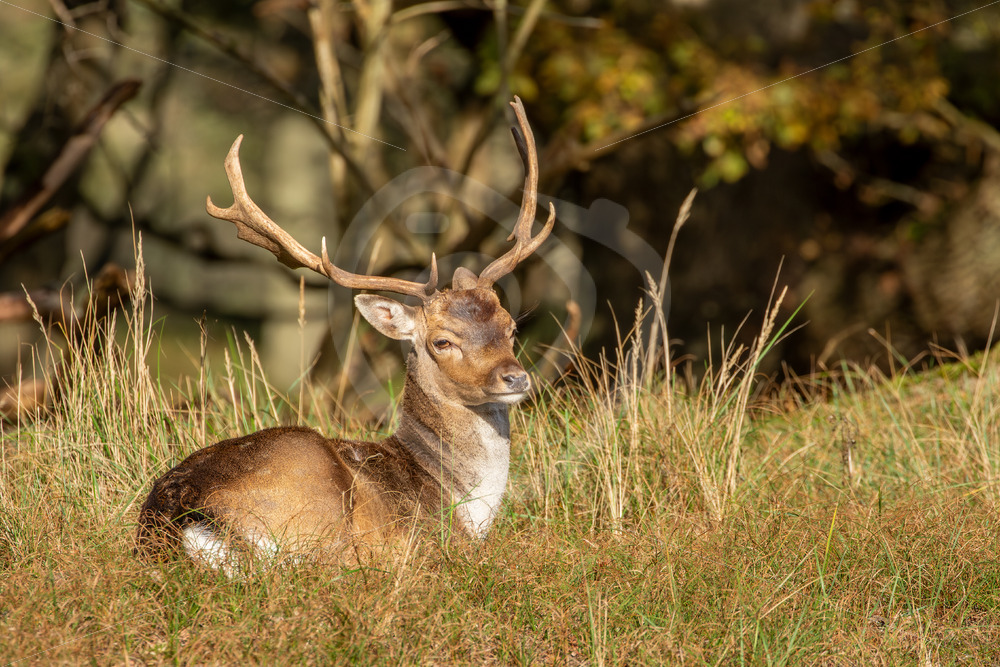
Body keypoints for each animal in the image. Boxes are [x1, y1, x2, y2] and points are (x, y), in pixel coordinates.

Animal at [135, 98, 555, 570]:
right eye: (442, 341)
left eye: (510, 327)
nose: (515, 378)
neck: (462, 503)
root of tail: (179, 519)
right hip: (315, 495)